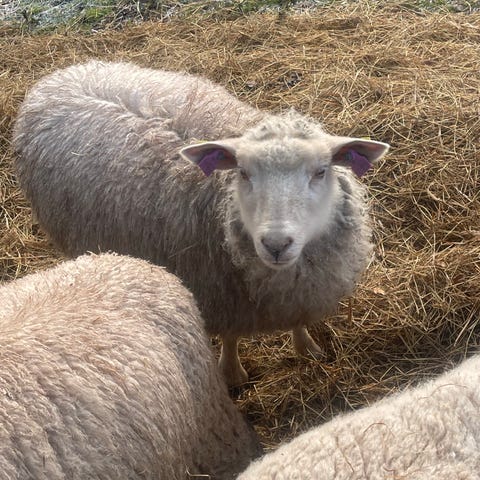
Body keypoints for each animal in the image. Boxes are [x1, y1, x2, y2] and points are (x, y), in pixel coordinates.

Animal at [13, 60, 390, 386]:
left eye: (321, 171)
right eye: (243, 172)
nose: (276, 244)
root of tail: (62, 74)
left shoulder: (301, 293)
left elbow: (299, 321)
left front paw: (307, 348)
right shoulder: (216, 293)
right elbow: (231, 336)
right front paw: (232, 374)